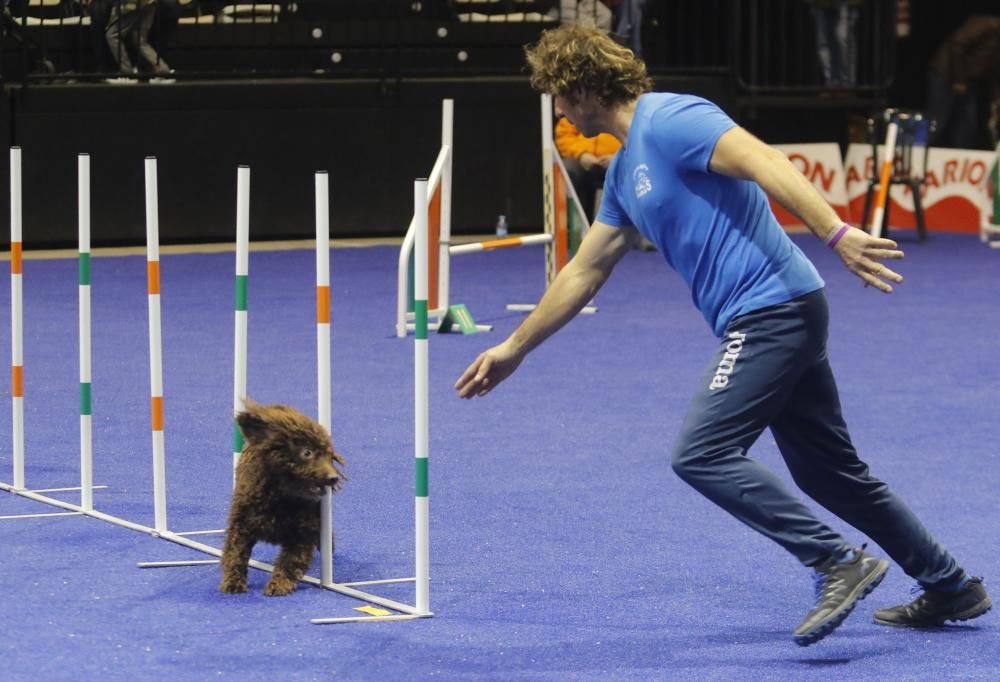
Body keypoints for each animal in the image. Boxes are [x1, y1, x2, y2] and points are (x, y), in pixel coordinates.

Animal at [218, 398, 344, 596]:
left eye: (329, 454)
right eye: (306, 452)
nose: (334, 478)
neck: (282, 497)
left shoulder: (303, 532)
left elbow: (290, 561)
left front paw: (279, 584)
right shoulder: (241, 524)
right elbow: (235, 554)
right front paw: (233, 582)